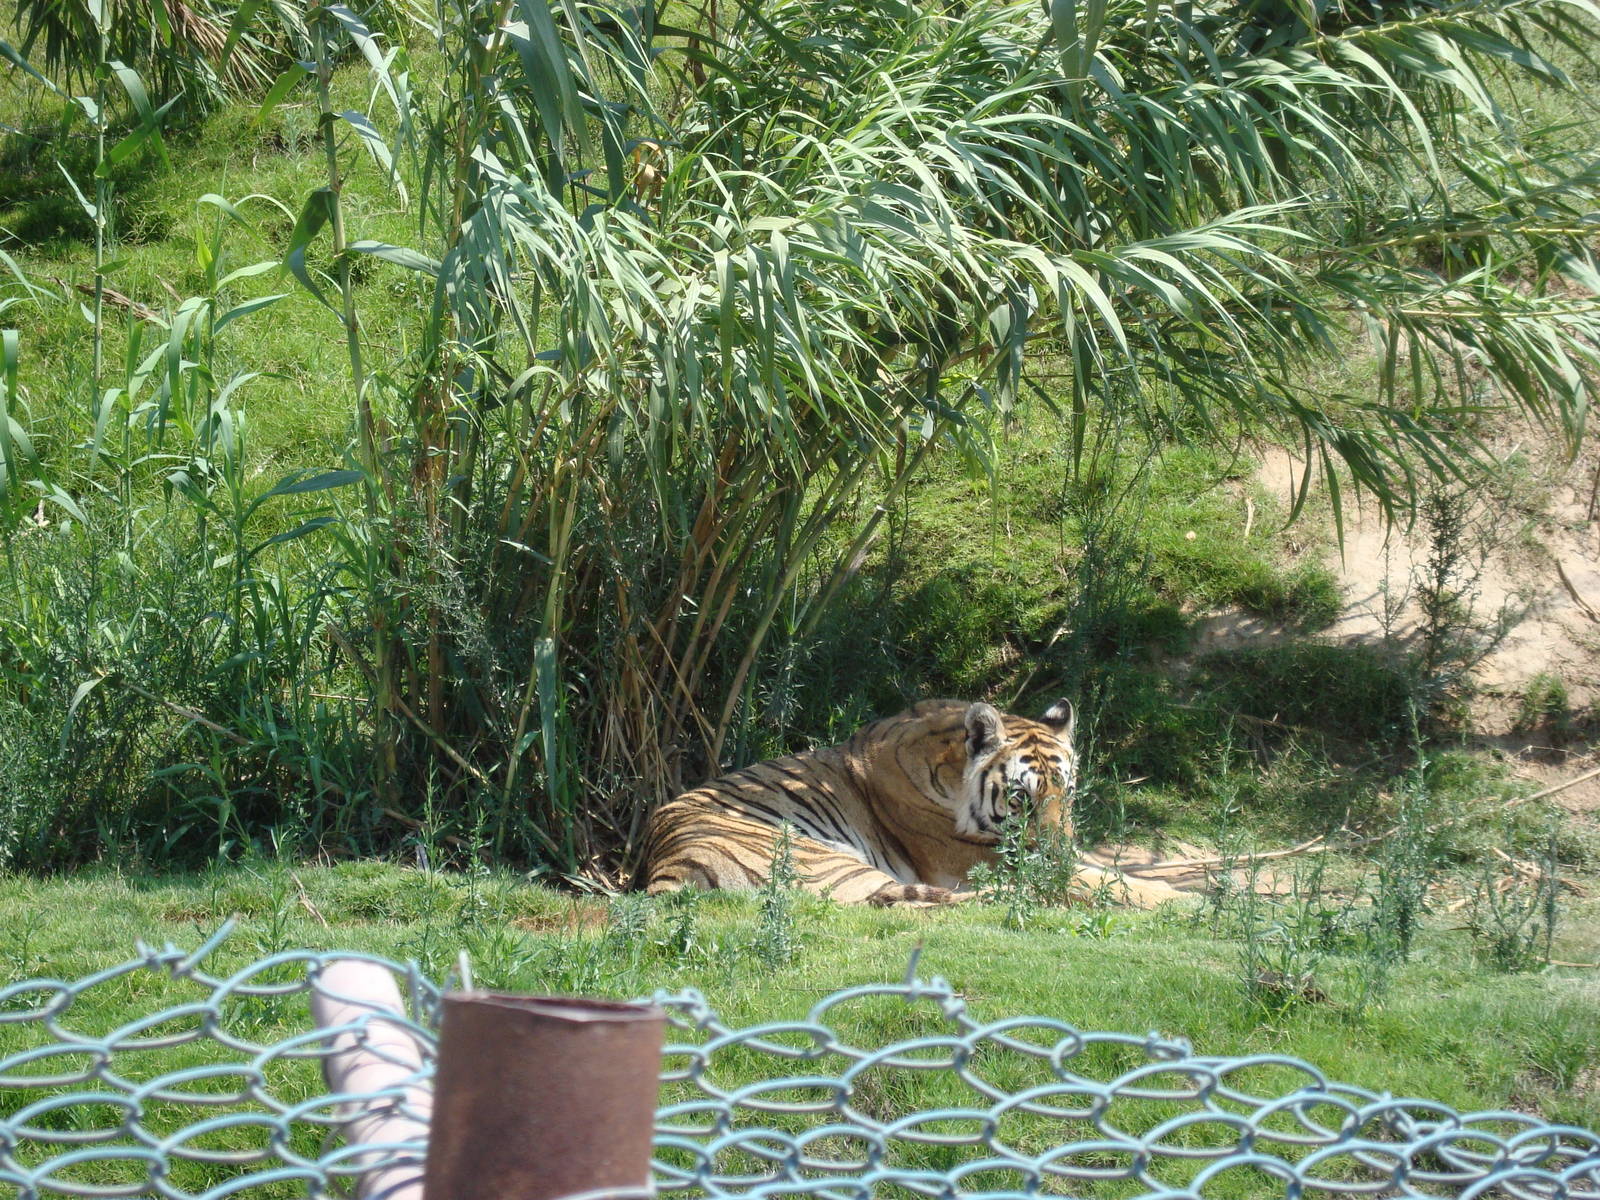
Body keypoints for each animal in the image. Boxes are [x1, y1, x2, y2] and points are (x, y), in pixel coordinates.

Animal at [642, 697, 1117, 907]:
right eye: (1021, 798)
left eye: (1068, 793)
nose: (1058, 853)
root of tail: (667, 867)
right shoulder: (976, 858)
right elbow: (1096, 877)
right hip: (822, 857)